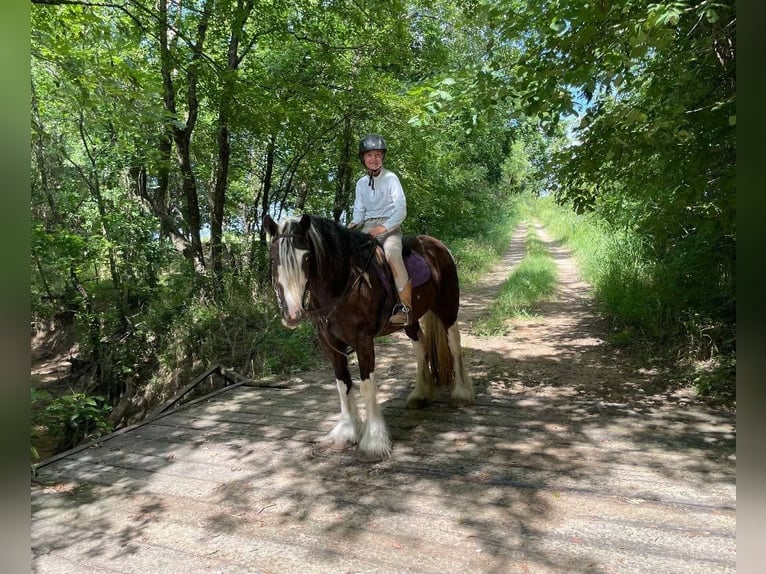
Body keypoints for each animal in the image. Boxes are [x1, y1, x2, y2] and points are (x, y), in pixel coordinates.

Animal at [268, 214, 476, 462]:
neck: (344, 283)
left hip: (447, 306)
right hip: (411, 320)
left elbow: (367, 388)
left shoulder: (363, 342)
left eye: (307, 257)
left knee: (454, 343)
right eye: (273, 258)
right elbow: (342, 384)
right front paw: (346, 432)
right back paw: (420, 395)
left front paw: (374, 440)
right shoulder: (331, 344)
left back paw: (462, 393)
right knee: (420, 347)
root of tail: (436, 245)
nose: (291, 315)